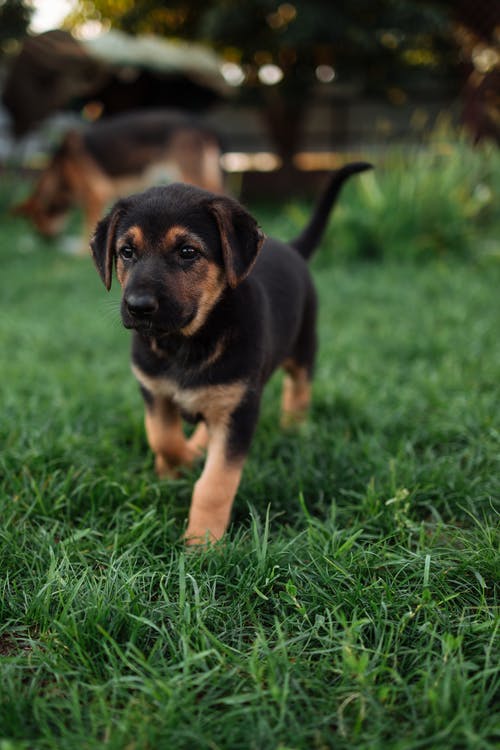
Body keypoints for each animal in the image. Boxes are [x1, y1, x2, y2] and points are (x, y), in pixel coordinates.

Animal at [12, 109, 224, 250]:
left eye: (37, 219)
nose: (45, 241)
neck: (61, 169)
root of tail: (202, 127)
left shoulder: (96, 194)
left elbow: (87, 228)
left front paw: (79, 251)